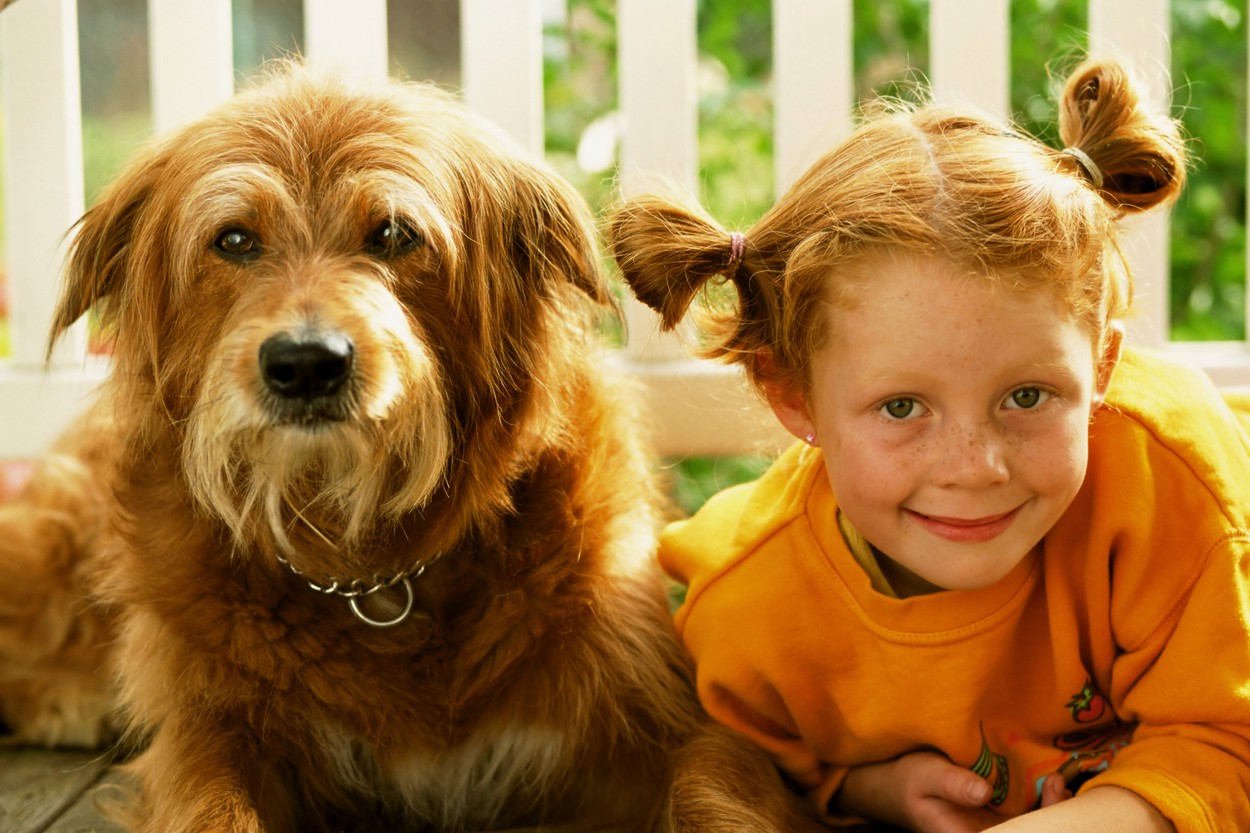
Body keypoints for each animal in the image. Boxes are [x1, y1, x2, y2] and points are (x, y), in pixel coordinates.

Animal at [0, 66, 820, 830]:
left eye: (393, 234)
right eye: (233, 240)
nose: (305, 364)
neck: (373, 569)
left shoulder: (663, 719)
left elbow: (712, 795)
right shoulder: (211, 733)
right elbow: (212, 807)